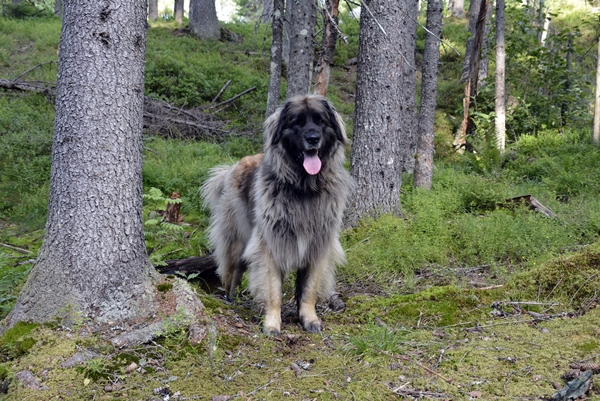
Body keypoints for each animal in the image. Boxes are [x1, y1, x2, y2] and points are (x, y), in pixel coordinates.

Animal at [202, 94, 352, 334]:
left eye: (320, 121)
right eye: (297, 122)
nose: (313, 138)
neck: (303, 188)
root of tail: (234, 165)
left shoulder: (318, 246)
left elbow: (308, 289)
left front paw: (309, 318)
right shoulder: (270, 246)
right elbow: (273, 291)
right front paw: (272, 323)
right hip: (237, 240)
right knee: (233, 271)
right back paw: (231, 299)